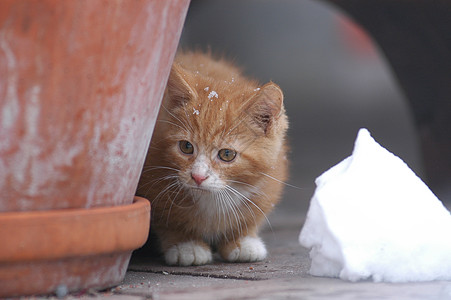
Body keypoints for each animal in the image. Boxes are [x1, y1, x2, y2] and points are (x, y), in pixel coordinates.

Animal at [136, 51, 290, 264]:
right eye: (186, 147)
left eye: (227, 154)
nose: (198, 176)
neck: (213, 198)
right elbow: (167, 219)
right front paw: (186, 244)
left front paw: (242, 239)